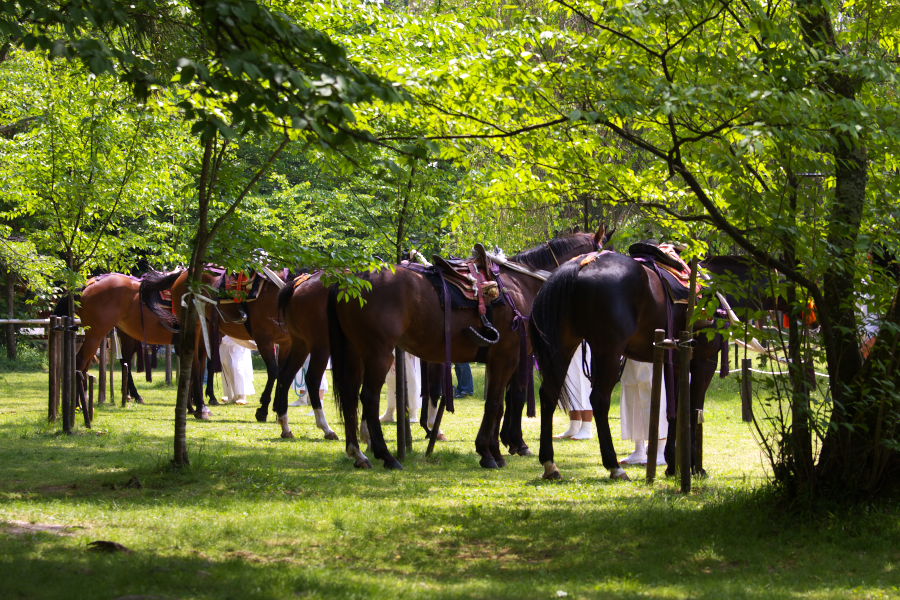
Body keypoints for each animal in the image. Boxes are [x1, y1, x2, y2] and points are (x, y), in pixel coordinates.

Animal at [326, 229, 608, 468]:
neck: (520, 286)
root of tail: (351, 278)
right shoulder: (508, 356)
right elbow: (498, 402)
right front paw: (489, 452)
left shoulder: (502, 359)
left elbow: (500, 403)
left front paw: (497, 449)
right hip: (379, 354)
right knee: (368, 398)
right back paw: (386, 456)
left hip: (356, 353)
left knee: (350, 396)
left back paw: (358, 453)